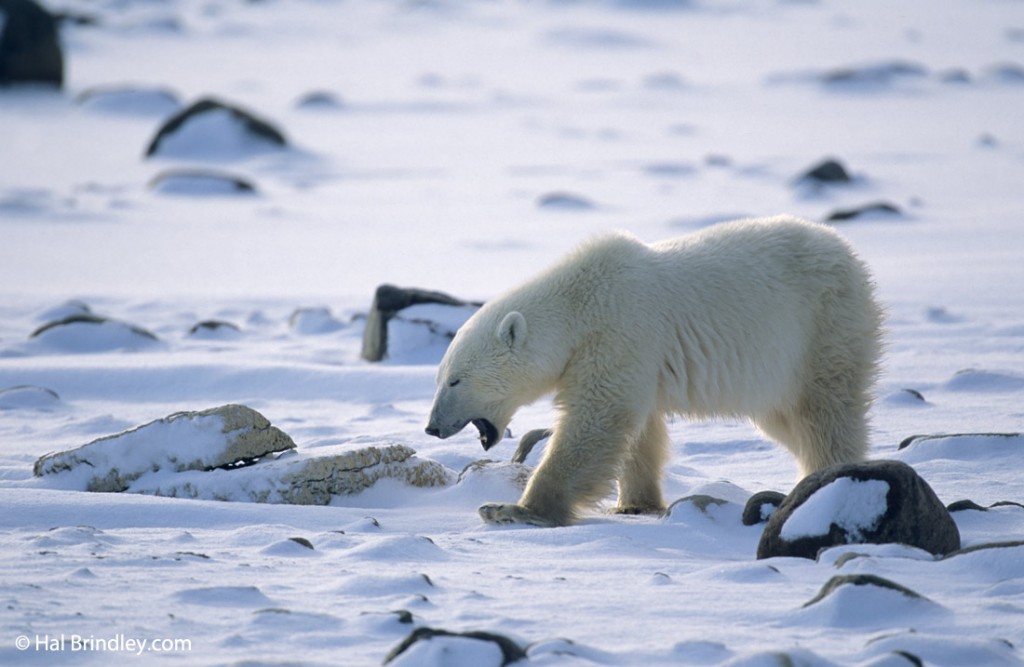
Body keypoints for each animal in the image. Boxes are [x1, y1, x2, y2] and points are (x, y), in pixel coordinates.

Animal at [421, 216, 880, 528]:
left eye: (456, 379)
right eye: (440, 378)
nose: (432, 427)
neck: (578, 302)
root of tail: (848, 253)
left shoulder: (618, 330)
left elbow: (596, 420)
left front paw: (511, 509)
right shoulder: (636, 354)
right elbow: (638, 429)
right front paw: (635, 503)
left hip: (820, 330)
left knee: (823, 411)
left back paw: (826, 478)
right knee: (785, 418)